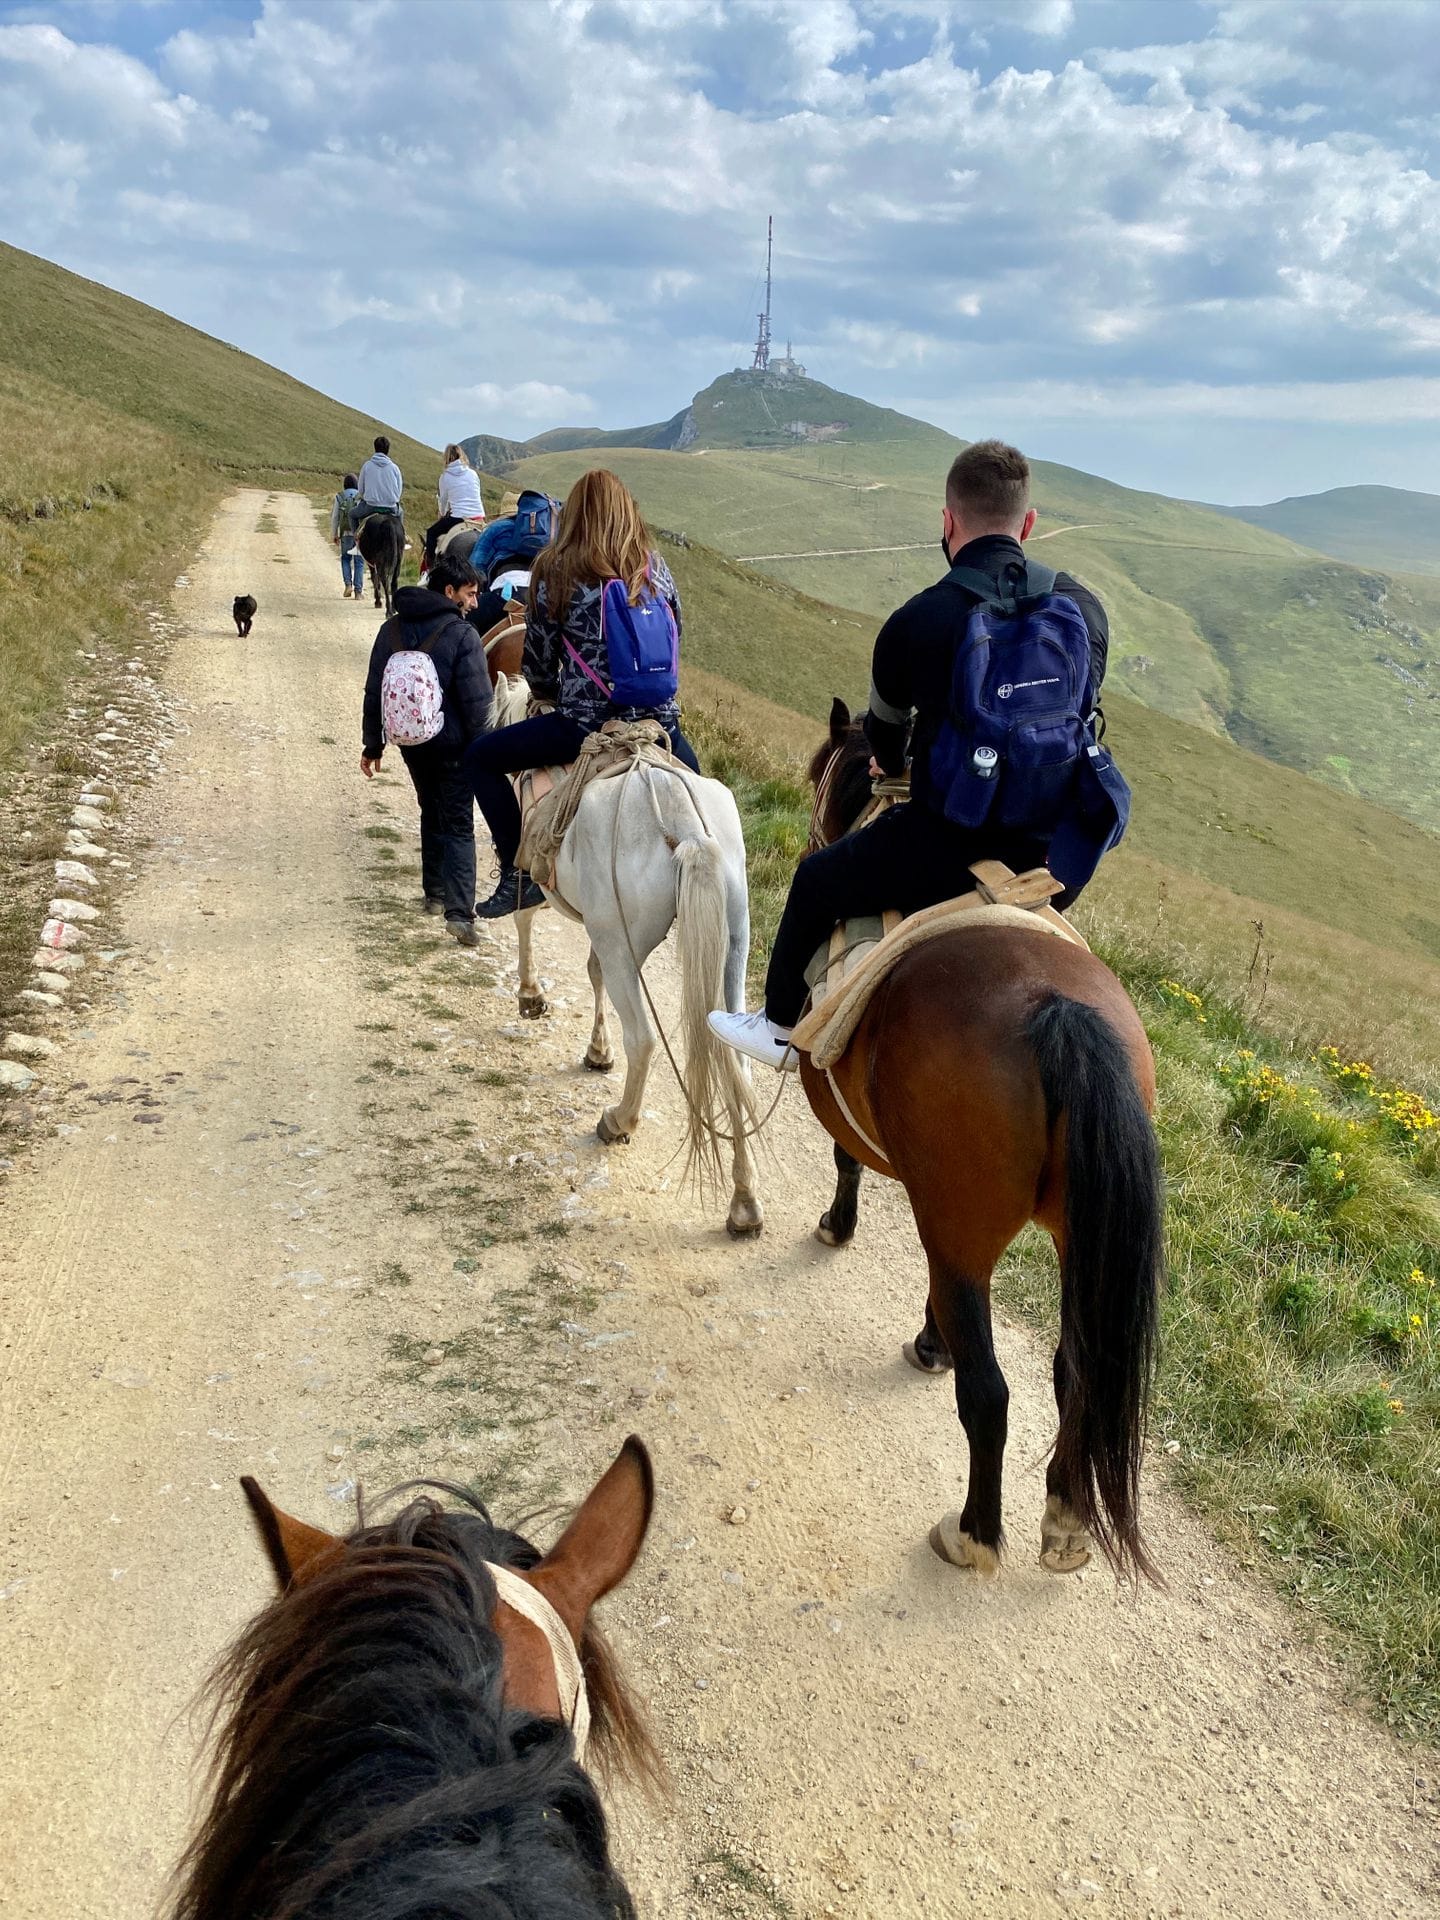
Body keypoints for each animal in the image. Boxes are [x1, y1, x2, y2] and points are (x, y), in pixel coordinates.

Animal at [495, 683, 768, 1236]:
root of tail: (683, 825)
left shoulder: (553, 896)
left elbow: (525, 919)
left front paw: (531, 997)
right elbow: (591, 973)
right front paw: (597, 1052)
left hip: (621, 940)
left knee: (642, 1038)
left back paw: (617, 1121)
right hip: (732, 946)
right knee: (733, 1056)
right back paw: (744, 1202)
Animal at [806, 698, 1167, 1582]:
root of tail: (1056, 1012)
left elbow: (845, 1161)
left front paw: (839, 1228)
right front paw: (928, 1337)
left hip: (965, 1227)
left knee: (990, 1393)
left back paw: (973, 1532)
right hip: (1076, 1237)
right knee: (1076, 1375)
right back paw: (1066, 1519)